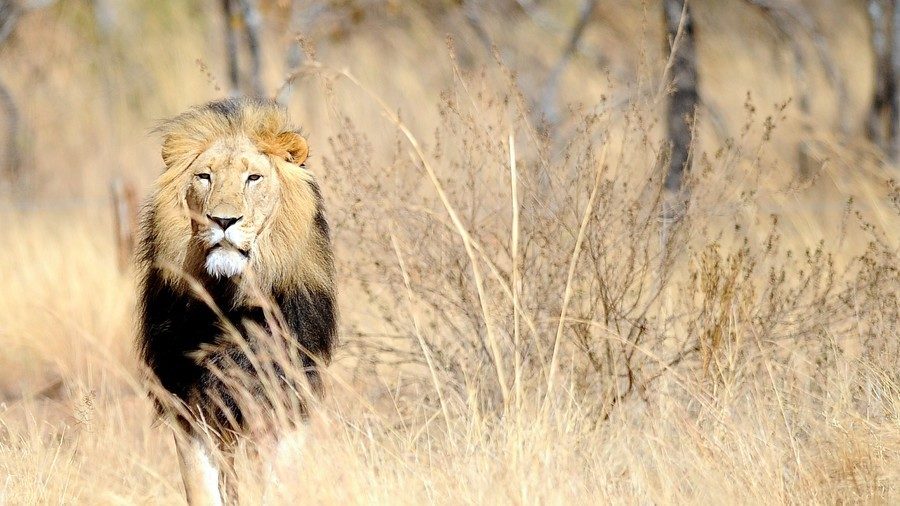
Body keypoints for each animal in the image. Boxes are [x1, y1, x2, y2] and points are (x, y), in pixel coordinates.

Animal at [136, 97, 336, 505]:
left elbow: (275, 486)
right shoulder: (189, 404)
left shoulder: (284, 400)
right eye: (204, 177)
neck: (229, 300)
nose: (223, 221)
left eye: (253, 178)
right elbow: (202, 489)